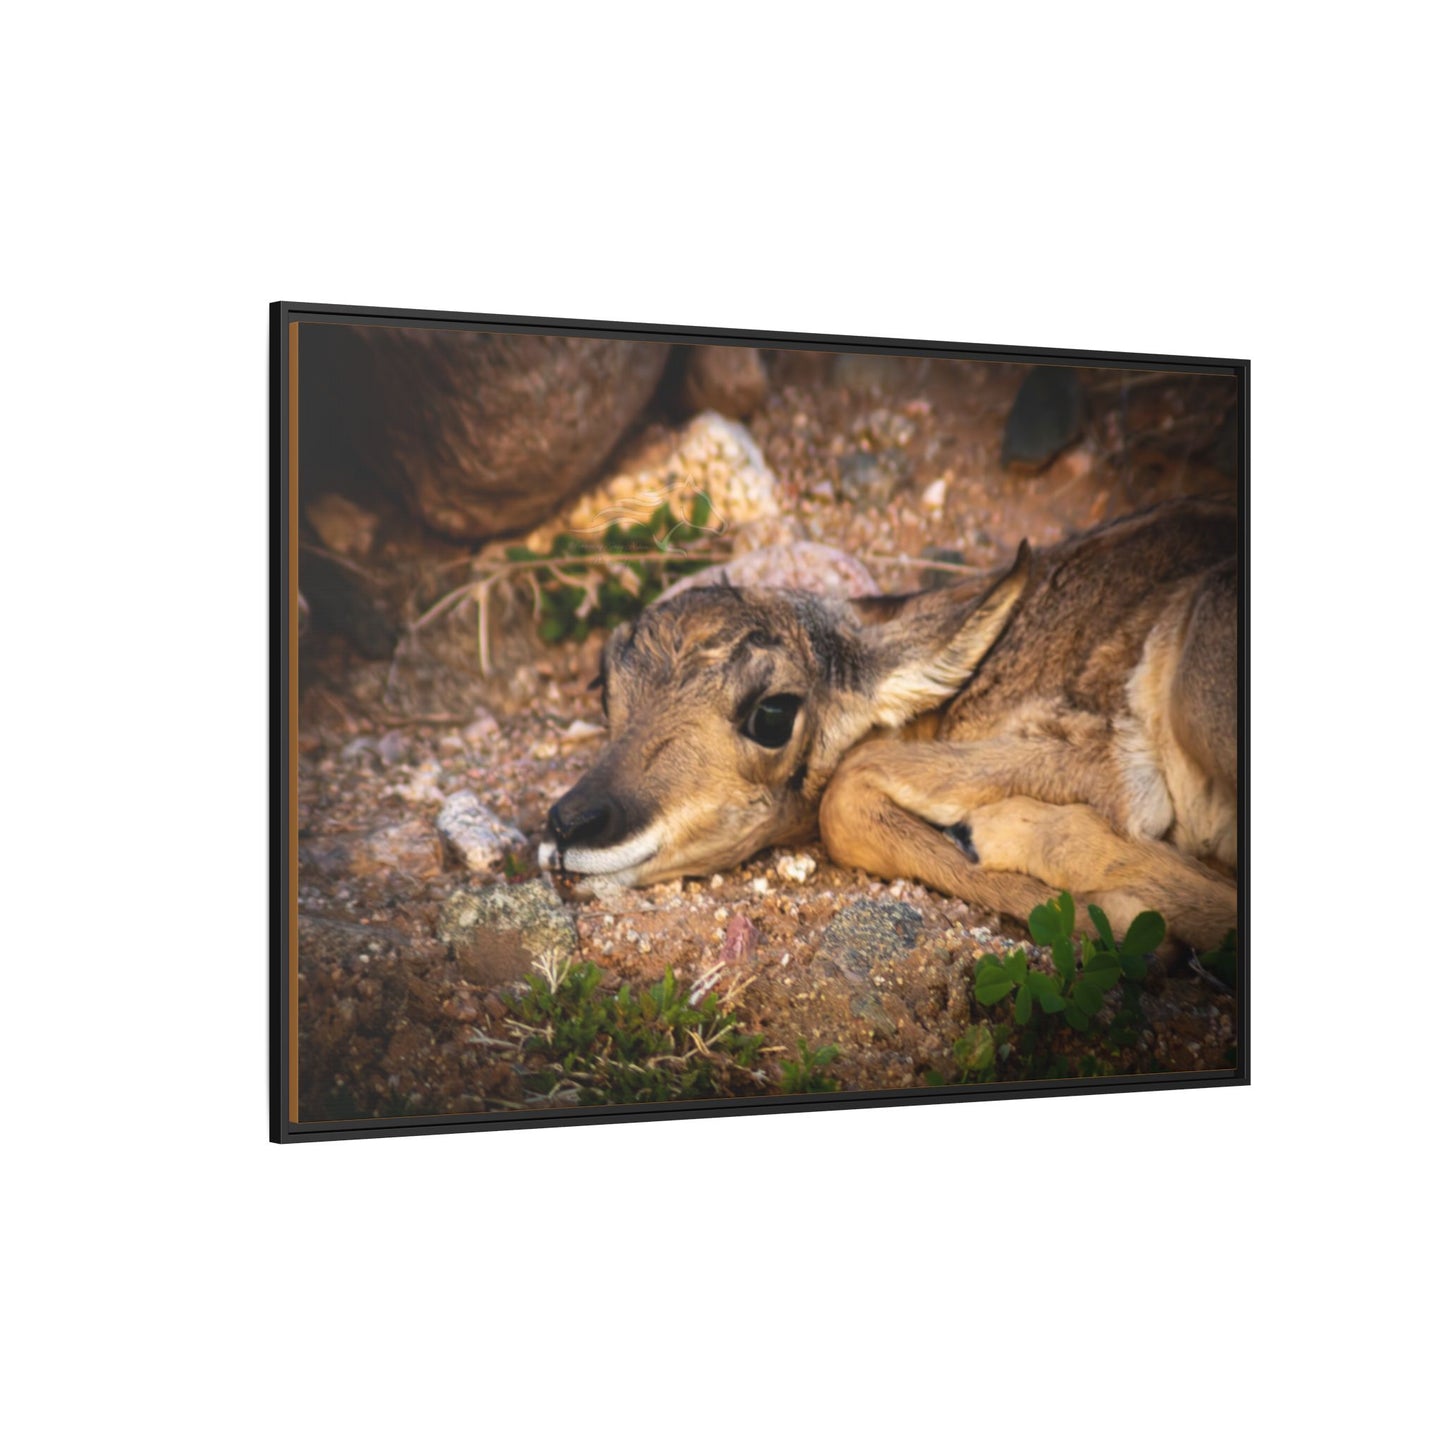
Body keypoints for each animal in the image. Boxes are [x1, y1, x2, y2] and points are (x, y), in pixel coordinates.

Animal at [538, 498, 1238, 947]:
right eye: (605, 684)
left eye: (772, 713)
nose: (570, 825)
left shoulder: (1112, 765)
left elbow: (846, 793)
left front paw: (1118, 917)